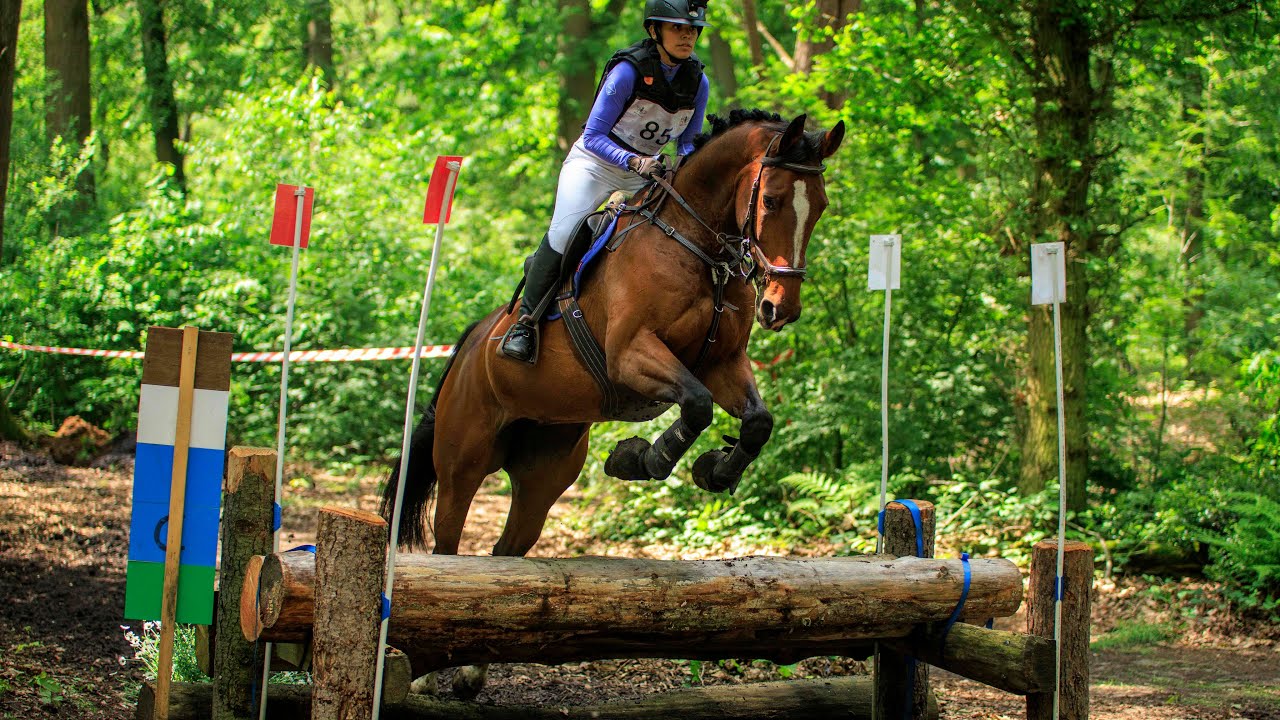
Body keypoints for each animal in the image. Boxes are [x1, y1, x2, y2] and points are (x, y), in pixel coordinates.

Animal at [382, 109, 844, 698]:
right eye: (772, 200)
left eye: (821, 205)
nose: (780, 309)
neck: (699, 246)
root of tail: (469, 347)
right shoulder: (631, 355)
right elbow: (696, 406)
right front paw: (641, 458)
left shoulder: (724, 364)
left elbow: (757, 421)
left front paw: (714, 469)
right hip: (463, 460)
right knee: (448, 549)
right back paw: (429, 670)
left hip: (543, 475)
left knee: (505, 556)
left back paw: (470, 668)